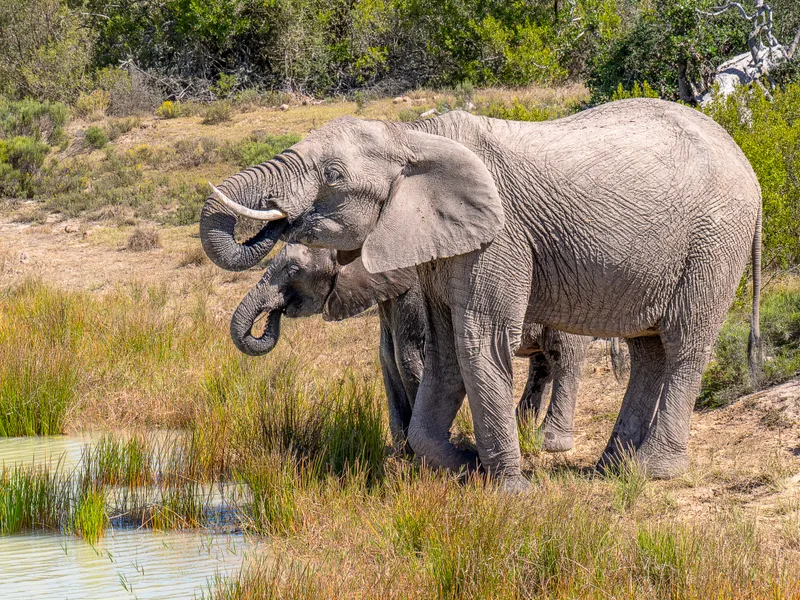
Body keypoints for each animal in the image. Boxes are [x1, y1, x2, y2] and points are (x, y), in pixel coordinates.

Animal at [228, 241, 592, 453]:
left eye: (294, 270)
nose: (275, 313)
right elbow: (387, 360)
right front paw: (403, 452)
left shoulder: (414, 289)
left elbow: (408, 358)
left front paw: (421, 456)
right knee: (542, 363)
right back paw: (521, 426)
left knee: (564, 356)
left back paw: (550, 441)